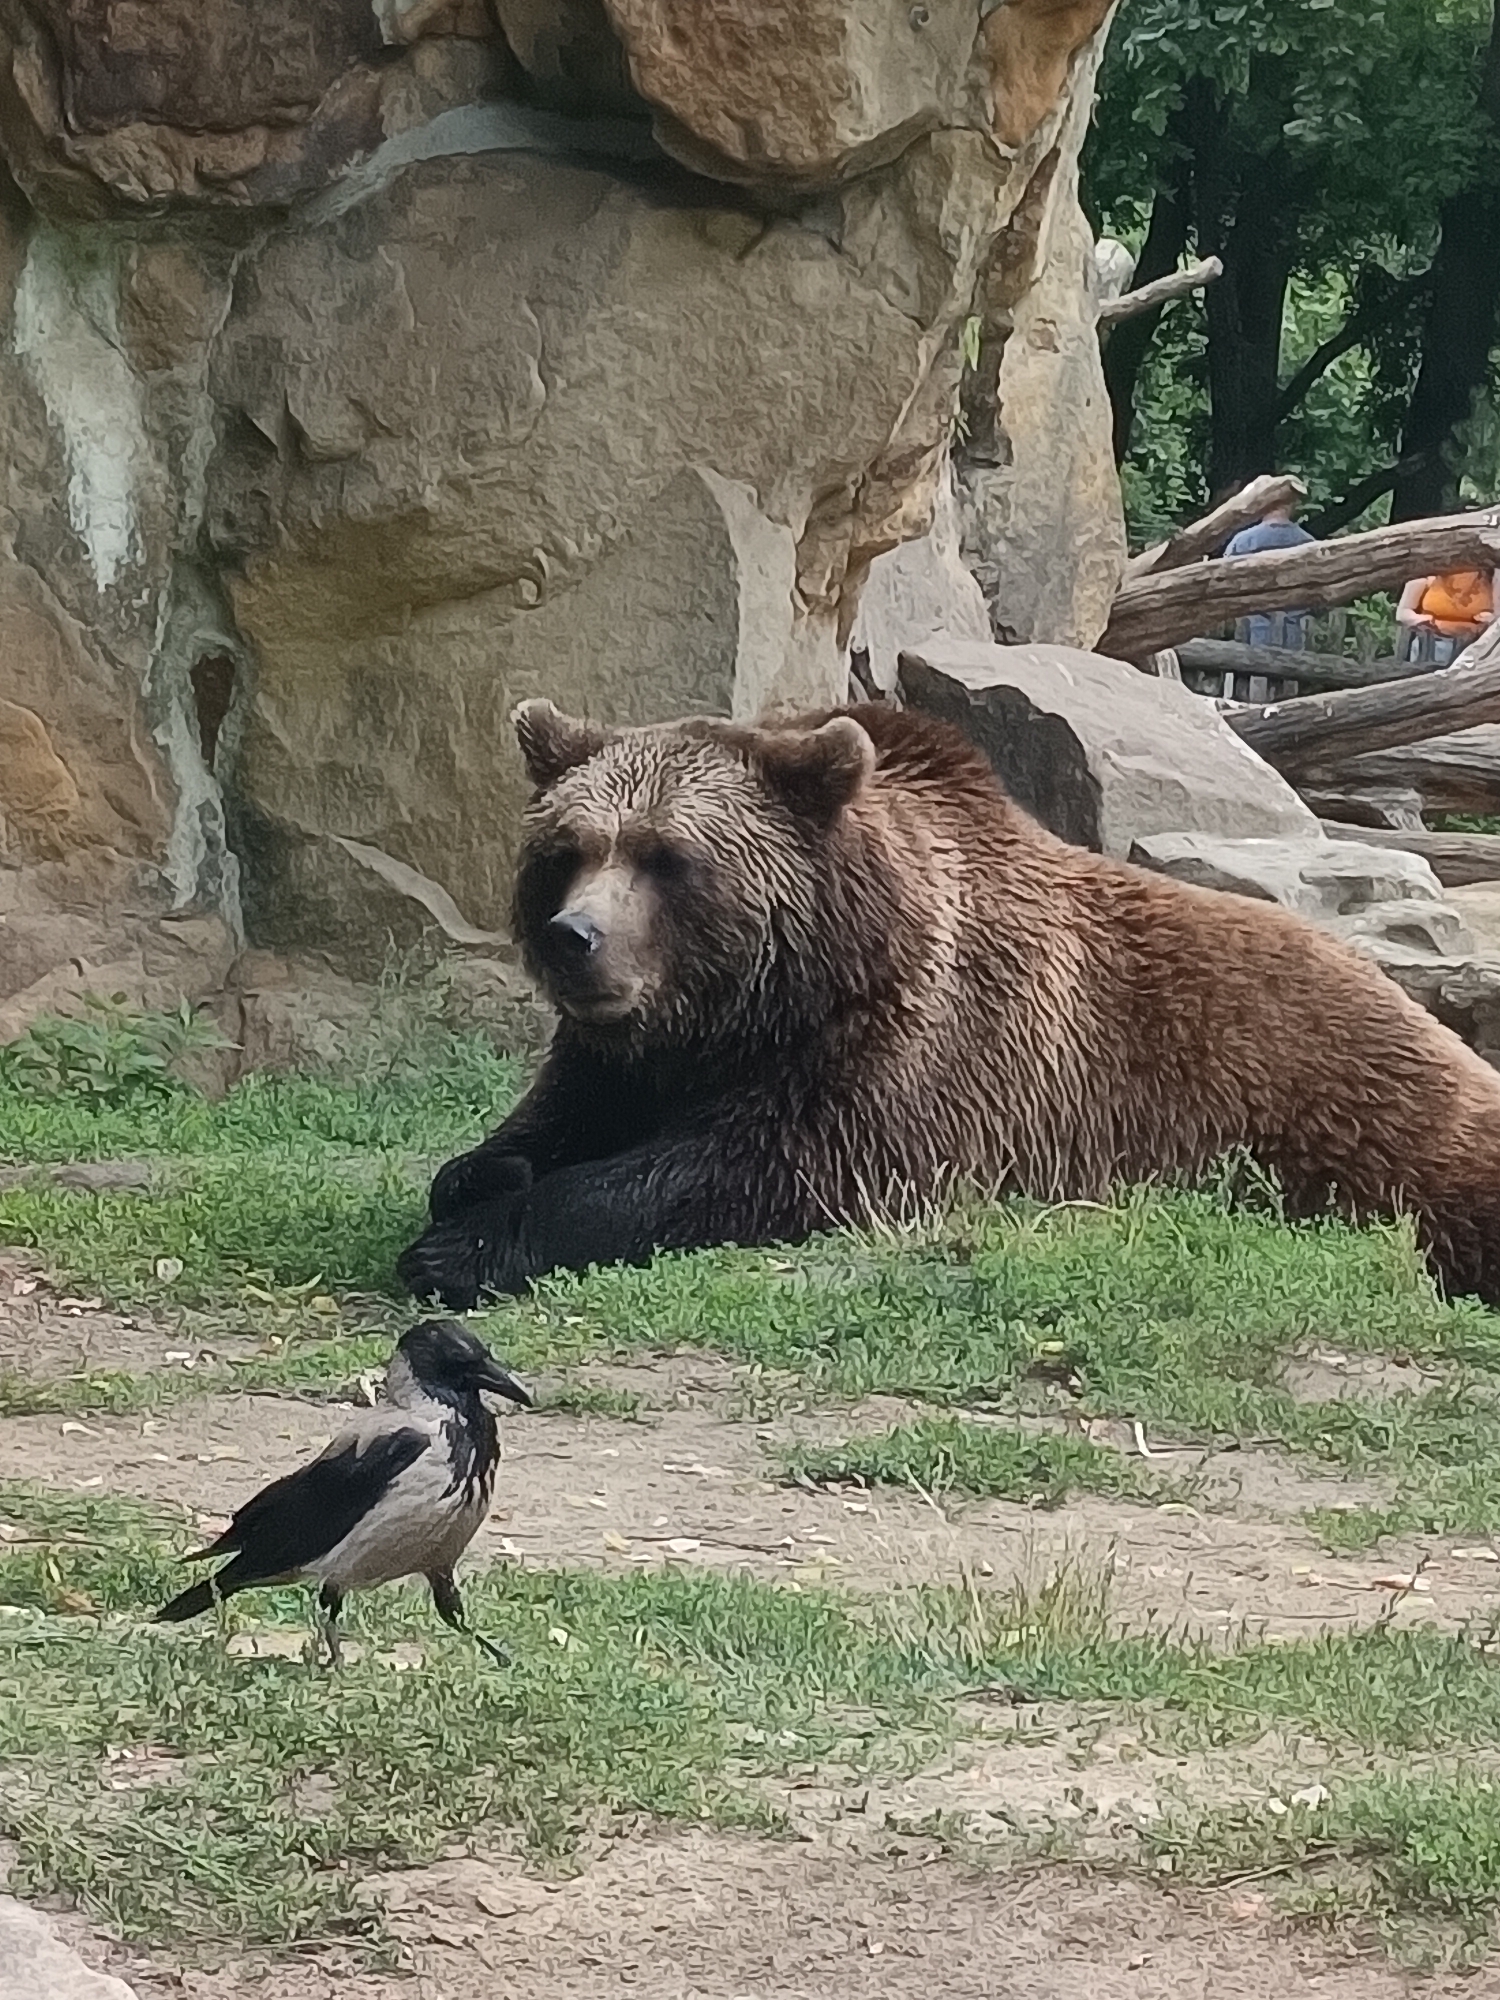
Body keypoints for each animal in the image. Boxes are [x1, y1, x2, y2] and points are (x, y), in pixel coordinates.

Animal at [396, 697, 1500, 1313]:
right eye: (569, 849)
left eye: (669, 857)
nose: (574, 938)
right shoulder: (623, 1054)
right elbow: (547, 1118)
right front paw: (479, 1175)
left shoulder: (915, 1058)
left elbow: (748, 1167)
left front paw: (463, 1244)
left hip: (1377, 1124)